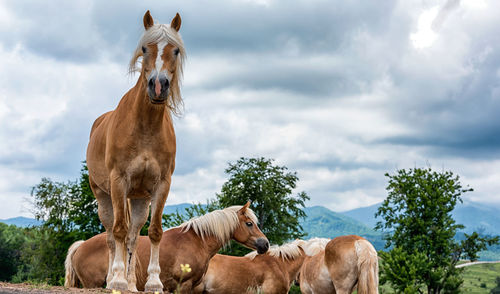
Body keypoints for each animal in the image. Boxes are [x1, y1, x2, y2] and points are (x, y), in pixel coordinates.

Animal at [86, 10, 186, 292]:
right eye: (144, 48)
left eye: (175, 50)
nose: (158, 86)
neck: (146, 127)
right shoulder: (119, 181)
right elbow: (118, 232)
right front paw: (118, 279)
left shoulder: (162, 184)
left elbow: (153, 232)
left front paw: (153, 282)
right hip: (104, 196)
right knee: (111, 236)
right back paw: (113, 280)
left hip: (140, 199)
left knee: (133, 236)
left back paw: (131, 283)